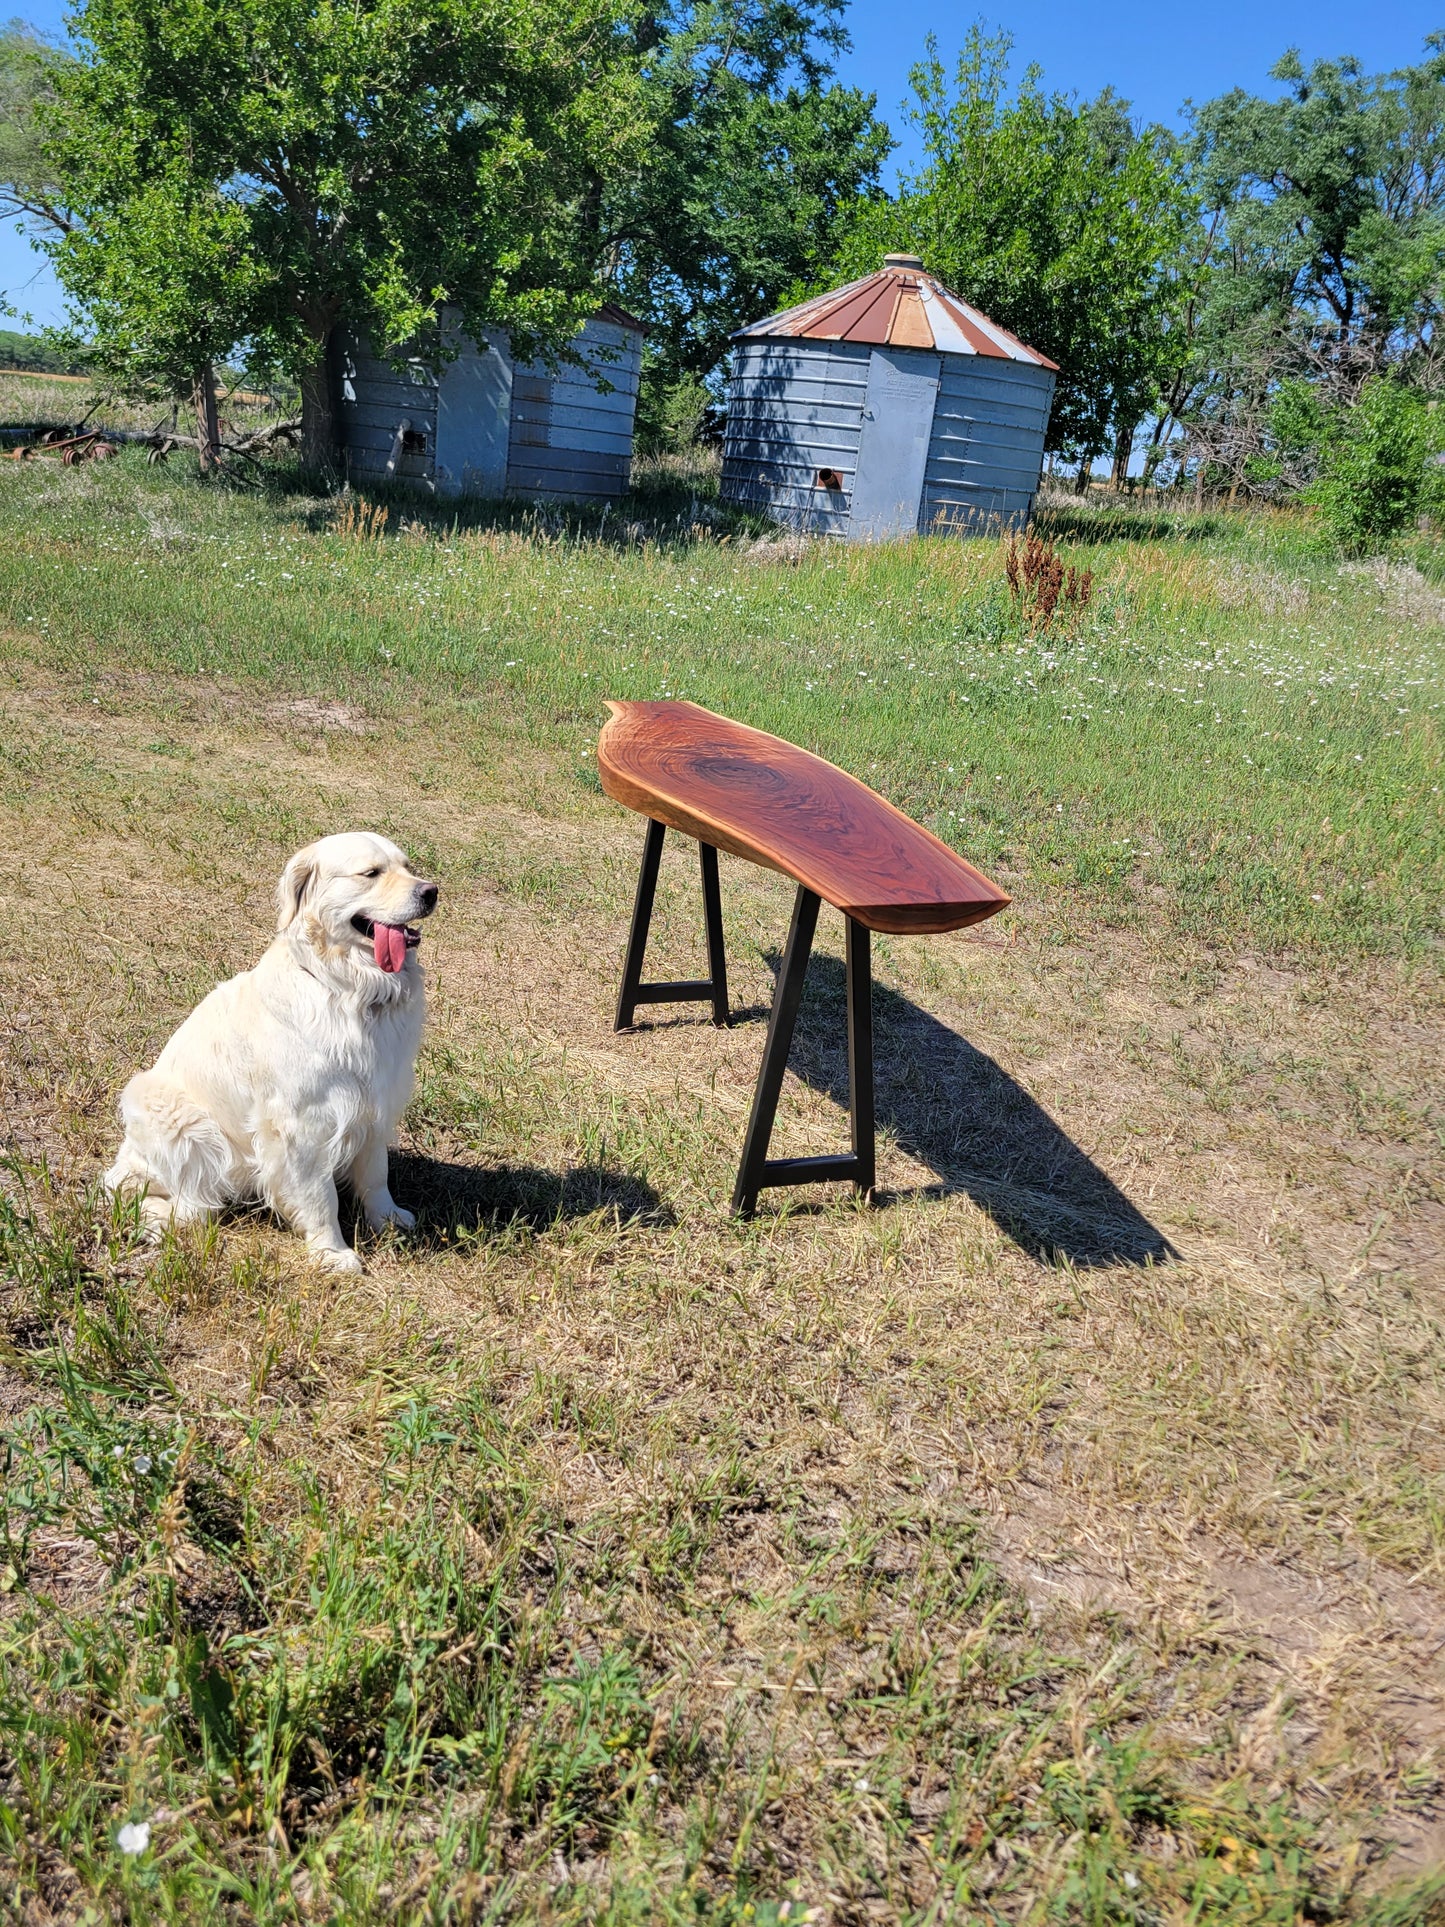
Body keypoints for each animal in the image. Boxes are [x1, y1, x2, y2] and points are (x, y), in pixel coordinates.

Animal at [106, 832, 439, 1271]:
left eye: (408, 867)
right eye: (370, 873)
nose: (431, 892)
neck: (350, 990)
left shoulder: (376, 1103)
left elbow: (375, 1174)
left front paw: (387, 1217)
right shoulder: (303, 1122)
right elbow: (319, 1195)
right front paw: (332, 1251)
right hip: (168, 1110)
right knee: (174, 1200)